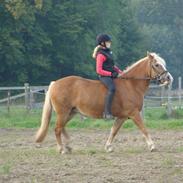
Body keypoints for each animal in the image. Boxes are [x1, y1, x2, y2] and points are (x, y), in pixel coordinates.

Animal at [35, 52, 173, 154]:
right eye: (156, 64)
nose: (169, 78)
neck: (131, 84)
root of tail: (55, 83)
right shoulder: (134, 114)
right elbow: (143, 128)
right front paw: (152, 146)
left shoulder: (122, 117)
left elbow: (114, 130)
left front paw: (108, 147)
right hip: (63, 112)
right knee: (57, 129)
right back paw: (62, 149)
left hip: (70, 112)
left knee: (61, 127)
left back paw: (68, 146)